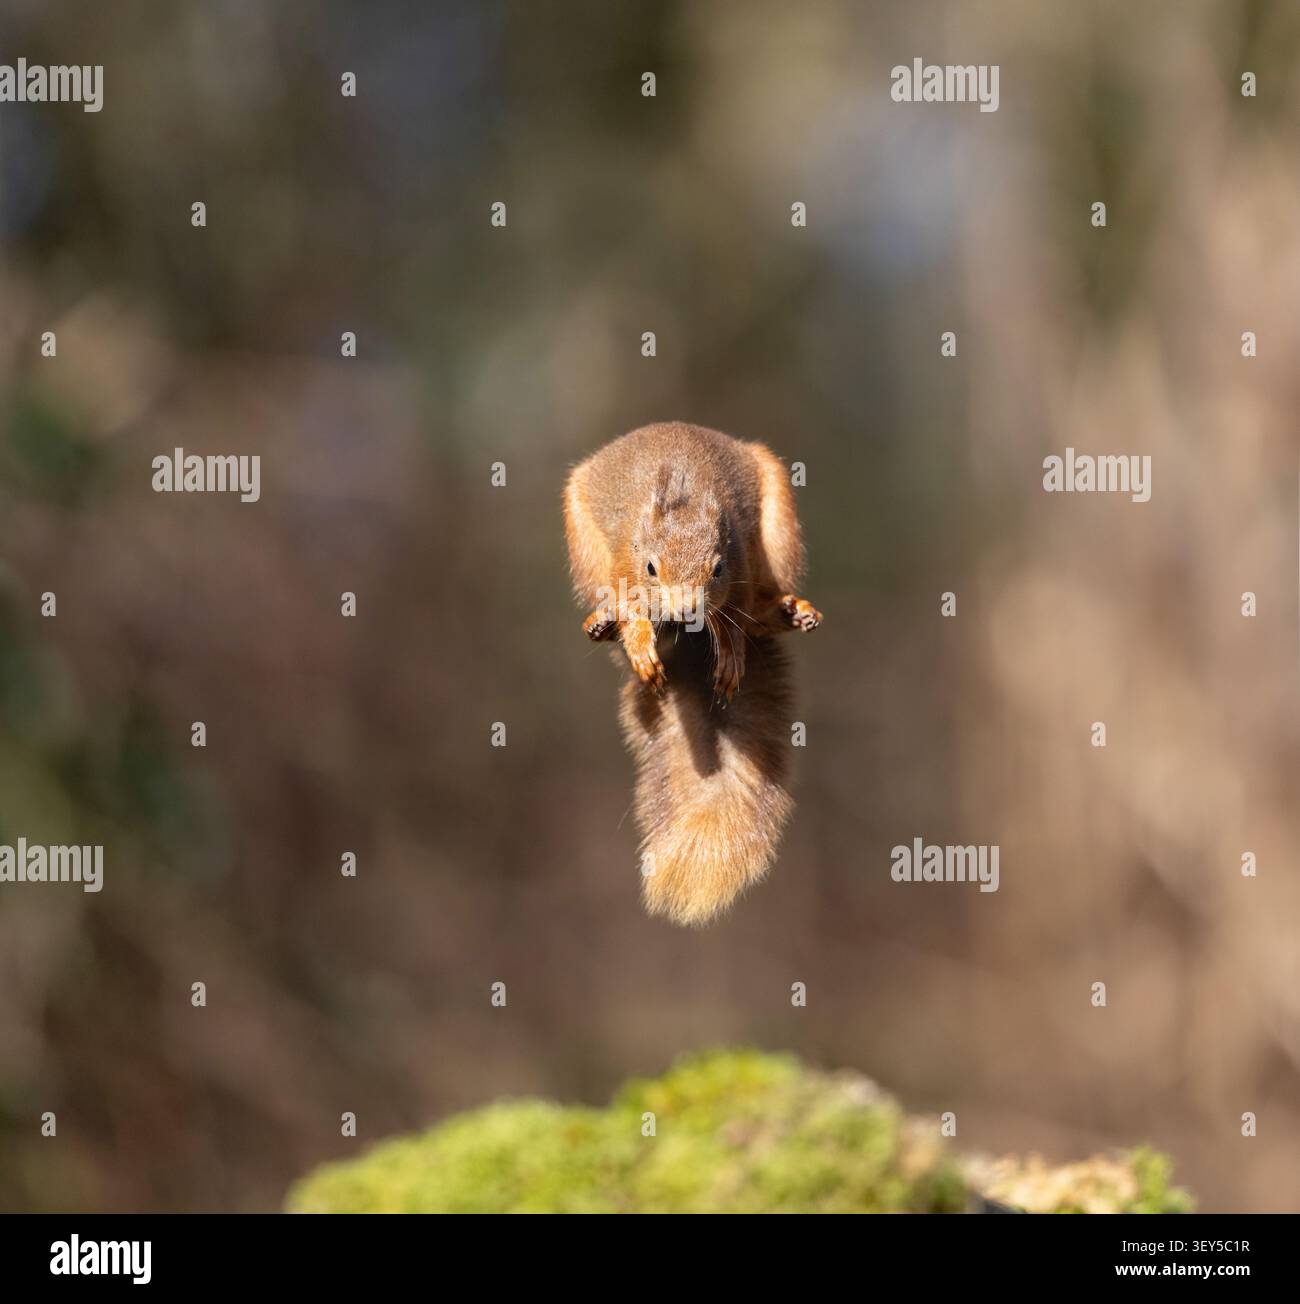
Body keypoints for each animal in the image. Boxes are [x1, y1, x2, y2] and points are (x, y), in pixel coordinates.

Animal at [564, 421, 822, 926]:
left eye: (716, 568)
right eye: (650, 567)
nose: (686, 610)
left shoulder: (741, 561)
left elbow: (737, 614)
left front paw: (730, 652)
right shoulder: (621, 561)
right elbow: (630, 608)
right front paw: (640, 645)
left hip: (779, 526)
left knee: (761, 611)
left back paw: (784, 610)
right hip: (582, 540)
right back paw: (602, 623)